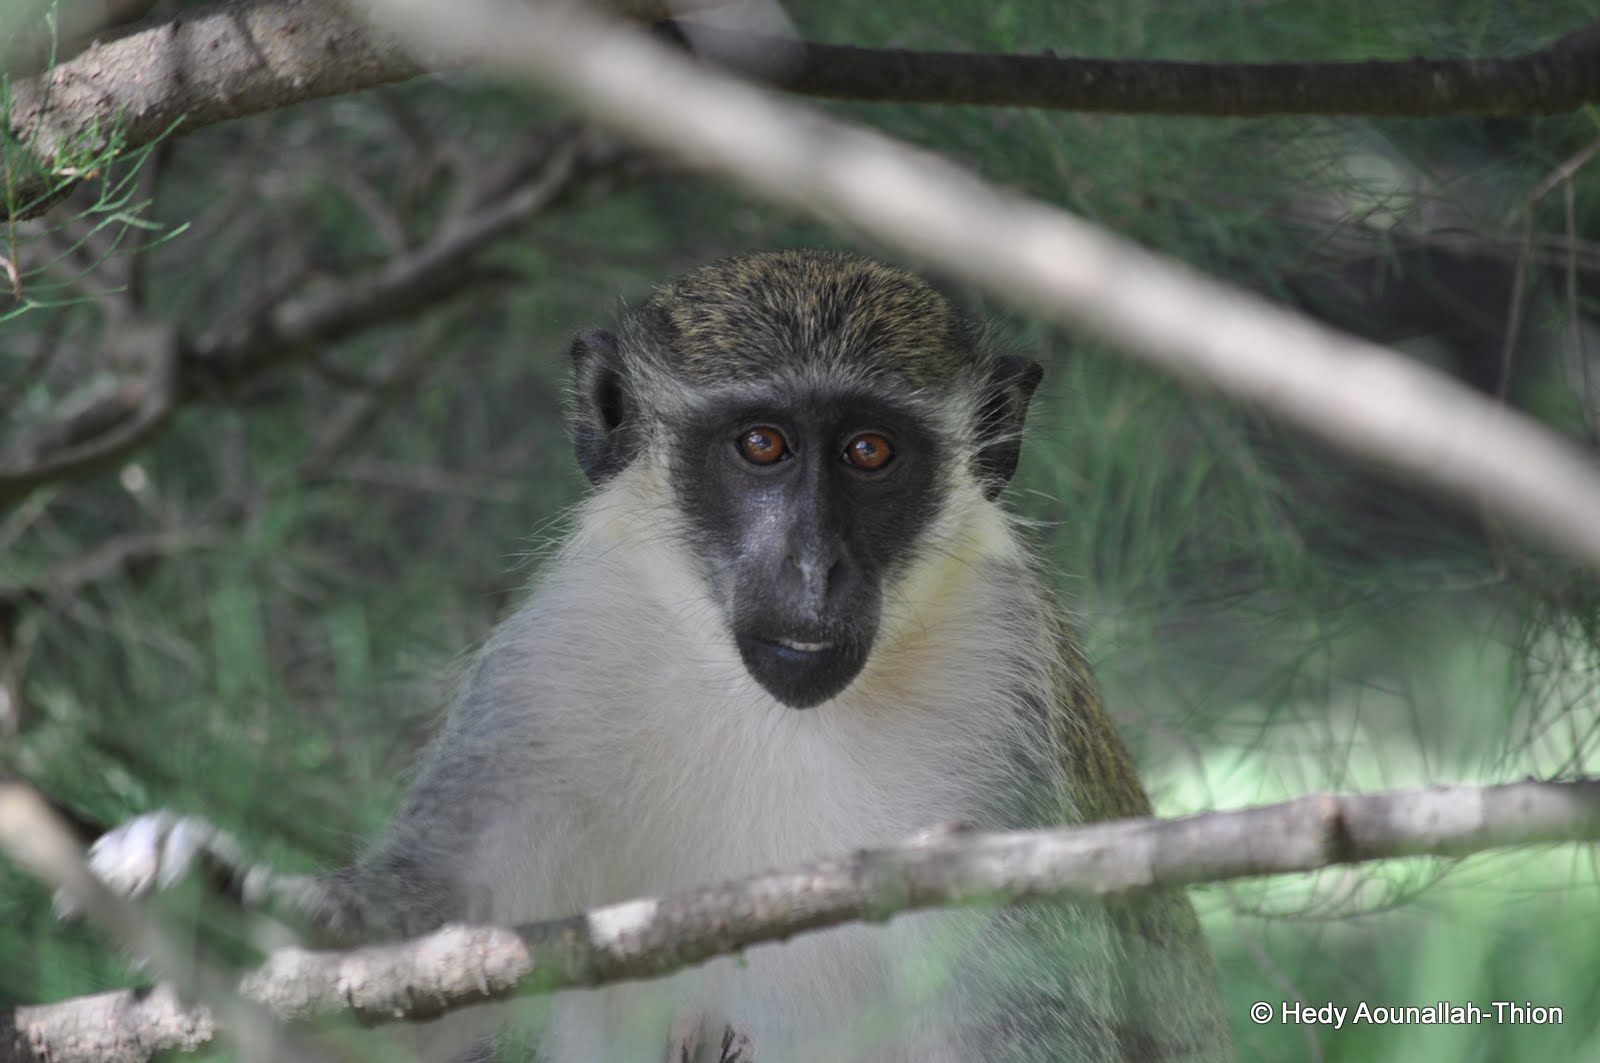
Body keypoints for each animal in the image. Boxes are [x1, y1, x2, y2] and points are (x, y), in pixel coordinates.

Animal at [84, 244, 1222, 1056]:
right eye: (761, 445)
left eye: (869, 452)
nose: (812, 565)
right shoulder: (552, 663)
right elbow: (426, 955)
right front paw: (217, 902)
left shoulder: (1002, 685)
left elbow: (1027, 1021)